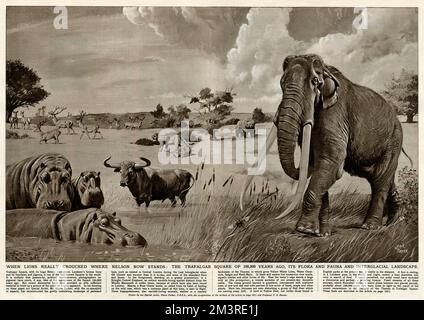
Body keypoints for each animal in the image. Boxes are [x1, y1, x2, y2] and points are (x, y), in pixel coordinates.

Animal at [240, 53, 412, 236]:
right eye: (281, 83)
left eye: (314, 81)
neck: (326, 70)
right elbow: (319, 164)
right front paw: (321, 233)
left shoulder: (335, 114)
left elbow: (331, 161)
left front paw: (304, 229)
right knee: (382, 177)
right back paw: (395, 221)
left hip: (393, 140)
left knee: (380, 178)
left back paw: (370, 226)